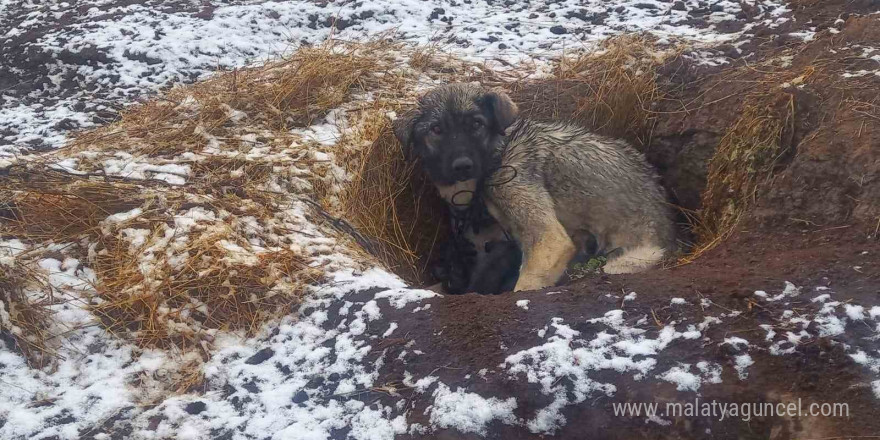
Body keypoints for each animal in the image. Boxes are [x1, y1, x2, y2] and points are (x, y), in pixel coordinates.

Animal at [392, 84, 672, 294]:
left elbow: (523, 285)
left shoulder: (546, 235)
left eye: (476, 124)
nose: (462, 166)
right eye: (436, 129)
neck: (497, 156)